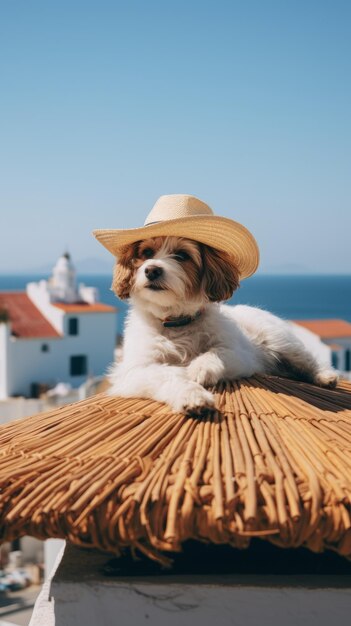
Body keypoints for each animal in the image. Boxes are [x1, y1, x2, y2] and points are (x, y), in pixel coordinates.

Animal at [108, 235, 340, 414]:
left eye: (182, 255)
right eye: (146, 252)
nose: (152, 270)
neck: (176, 322)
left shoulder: (241, 355)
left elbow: (215, 352)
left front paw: (199, 367)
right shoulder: (135, 370)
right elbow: (168, 375)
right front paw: (191, 394)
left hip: (281, 341)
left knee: (306, 360)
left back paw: (324, 376)